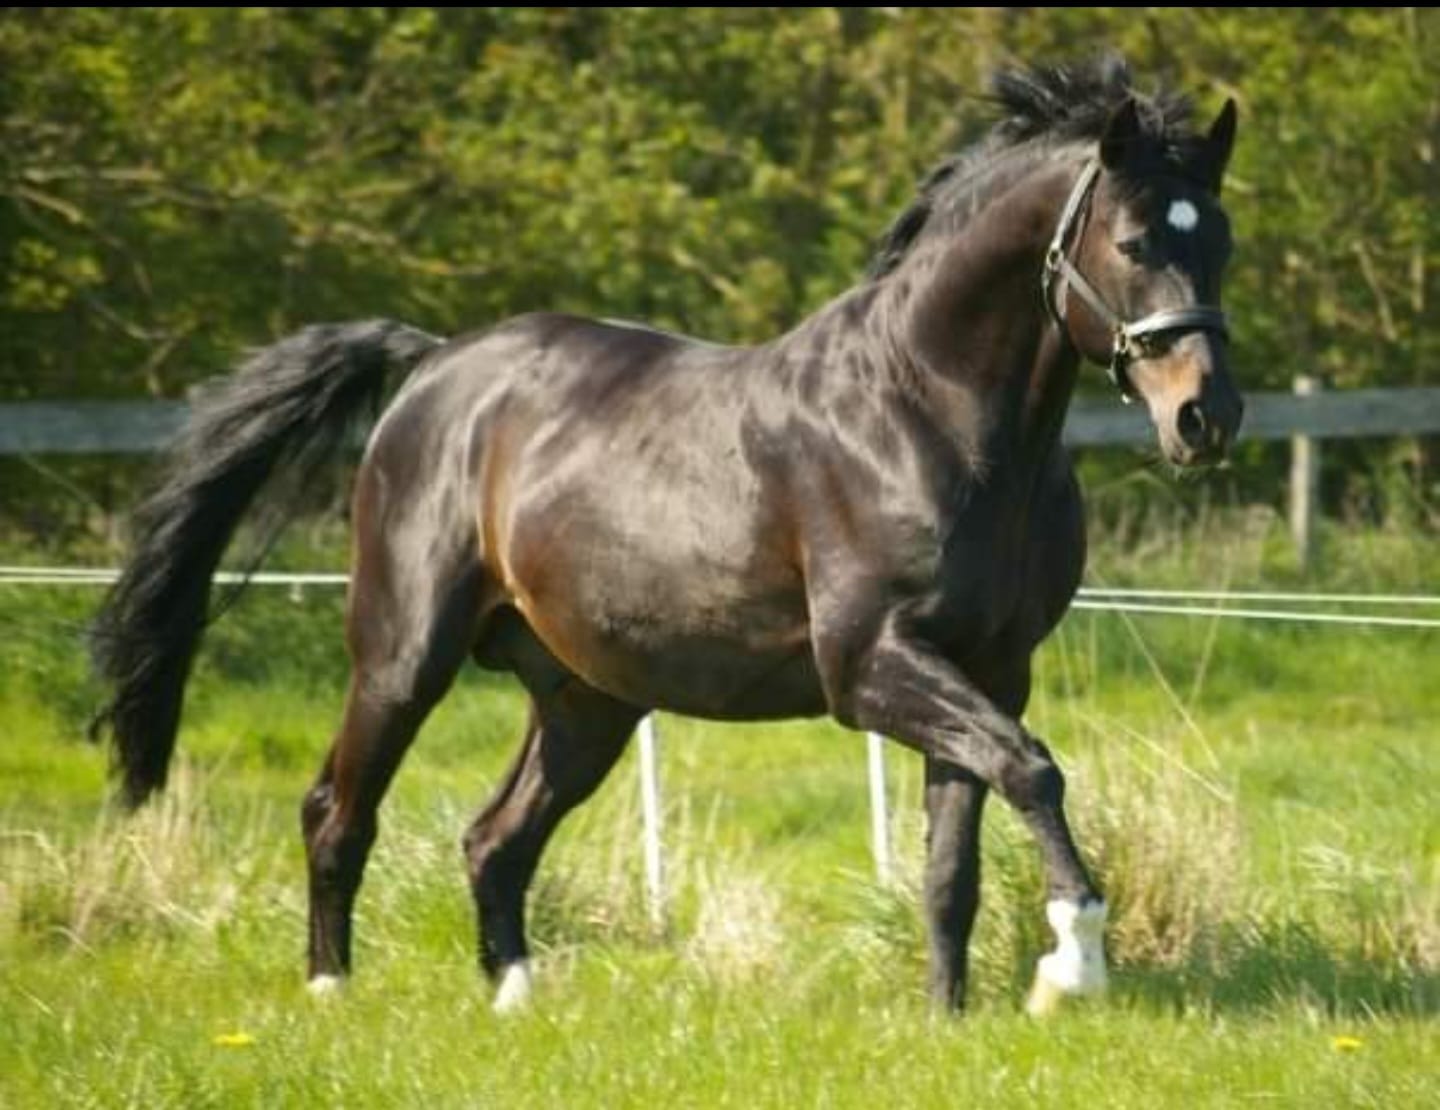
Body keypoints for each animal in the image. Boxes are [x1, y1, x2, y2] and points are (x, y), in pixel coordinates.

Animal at [90, 57, 1242, 1015]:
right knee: (337, 809)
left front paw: (949, 1018)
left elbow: (956, 855)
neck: (931, 417)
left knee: (495, 839)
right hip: (402, 658)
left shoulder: (991, 669)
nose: (1206, 418)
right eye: (1135, 242)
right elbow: (1035, 772)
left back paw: (517, 1003)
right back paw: (331, 992)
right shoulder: (872, 667)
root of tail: (434, 366)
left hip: (586, 700)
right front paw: (1072, 966)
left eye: (1221, 244)